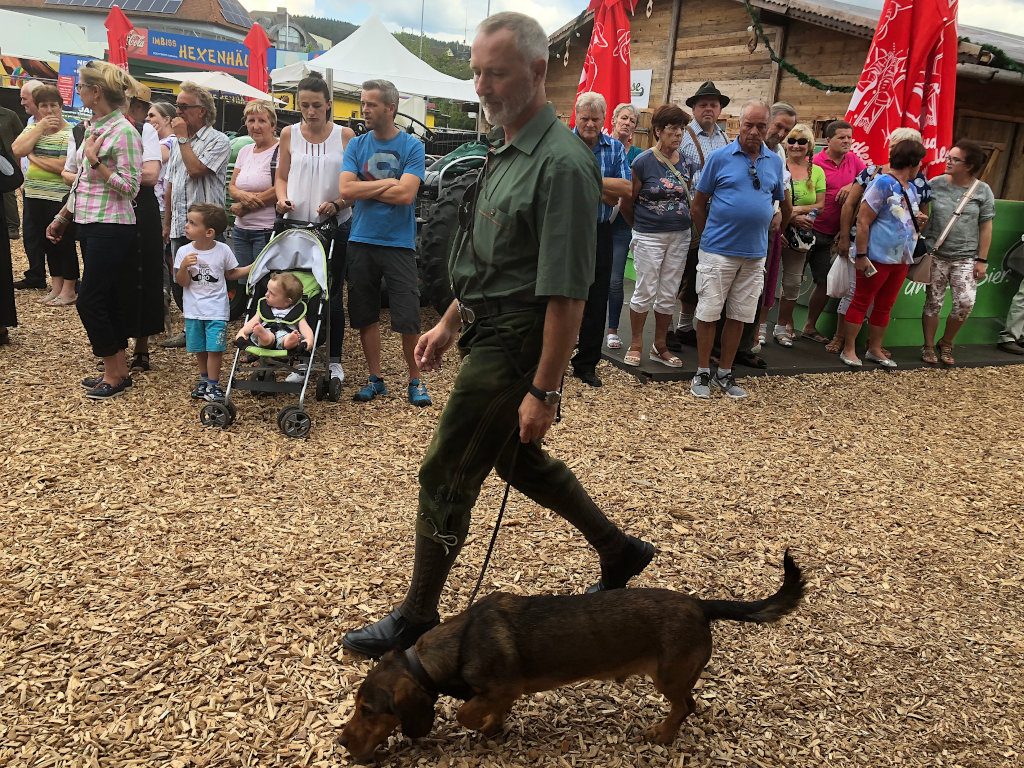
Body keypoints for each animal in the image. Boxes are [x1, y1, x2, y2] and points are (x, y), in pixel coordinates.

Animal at [339, 552, 802, 765]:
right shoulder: (503, 692)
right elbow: (491, 712)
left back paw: (662, 734)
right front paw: (493, 728)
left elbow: (465, 713)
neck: (461, 643)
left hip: (668, 678)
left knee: (685, 706)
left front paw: (480, 725)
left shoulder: (500, 687)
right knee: (690, 704)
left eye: (367, 710)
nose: (341, 743)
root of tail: (700, 605)